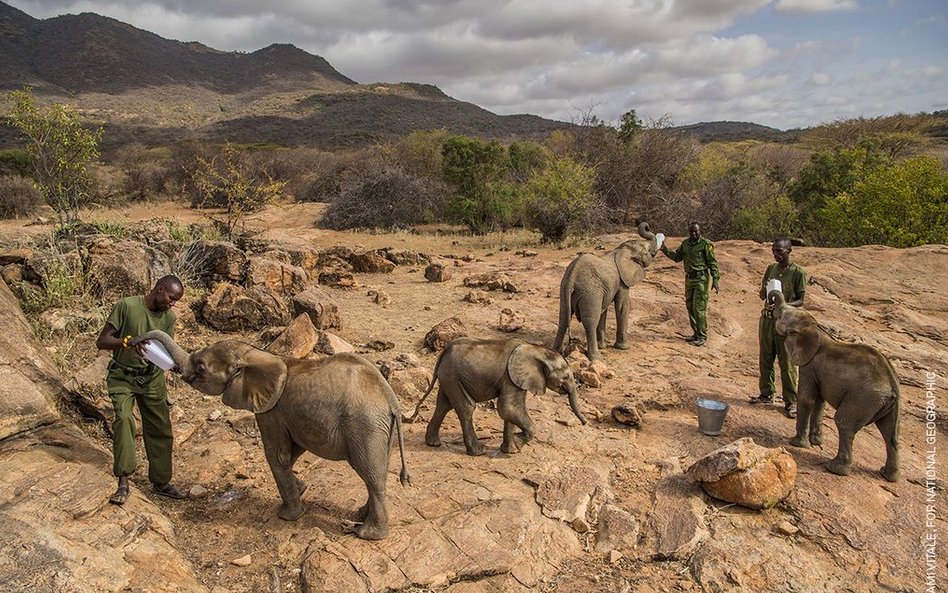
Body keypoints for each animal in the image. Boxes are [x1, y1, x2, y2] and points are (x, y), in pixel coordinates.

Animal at [133, 330, 410, 540]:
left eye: (201, 367)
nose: (138, 343)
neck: (257, 354)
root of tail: (390, 399)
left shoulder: (270, 411)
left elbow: (277, 455)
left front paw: (287, 516)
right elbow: (293, 451)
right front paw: (302, 488)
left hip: (365, 426)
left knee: (370, 475)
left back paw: (368, 535)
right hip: (379, 429)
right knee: (377, 471)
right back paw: (359, 517)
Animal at [409, 337, 587, 456]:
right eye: (565, 377)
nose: (585, 423)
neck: (535, 349)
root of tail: (443, 352)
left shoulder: (516, 379)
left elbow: (511, 410)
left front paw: (511, 450)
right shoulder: (510, 377)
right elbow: (507, 408)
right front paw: (518, 443)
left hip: (449, 377)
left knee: (444, 405)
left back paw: (433, 443)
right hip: (453, 376)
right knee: (466, 407)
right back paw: (478, 452)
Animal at [553, 222, 660, 360]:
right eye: (646, 253)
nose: (647, 226)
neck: (621, 250)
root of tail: (572, 277)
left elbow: (603, 310)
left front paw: (602, 346)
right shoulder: (622, 281)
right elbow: (622, 306)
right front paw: (623, 348)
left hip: (565, 289)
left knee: (563, 318)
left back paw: (556, 351)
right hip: (589, 293)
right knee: (590, 321)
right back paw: (596, 357)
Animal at [769, 291, 900, 482]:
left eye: (782, 316)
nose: (770, 301)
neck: (816, 328)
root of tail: (892, 386)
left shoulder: (810, 365)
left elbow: (807, 399)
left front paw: (797, 443)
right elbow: (819, 402)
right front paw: (816, 442)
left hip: (864, 397)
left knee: (844, 421)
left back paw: (834, 468)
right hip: (887, 404)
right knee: (891, 433)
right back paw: (887, 475)